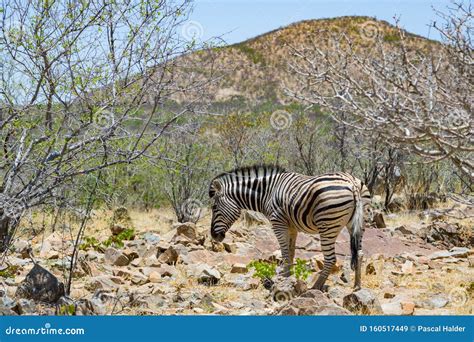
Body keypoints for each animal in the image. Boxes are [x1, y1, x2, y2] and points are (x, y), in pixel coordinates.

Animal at [210, 164, 370, 290]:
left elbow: (285, 252)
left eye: (214, 208)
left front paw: (283, 276)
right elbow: (292, 251)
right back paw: (357, 286)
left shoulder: (278, 223)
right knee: (360, 254)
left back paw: (315, 287)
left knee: (331, 259)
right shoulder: (292, 227)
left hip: (327, 226)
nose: (213, 235)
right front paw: (289, 275)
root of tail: (352, 183)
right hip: (360, 224)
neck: (268, 192)